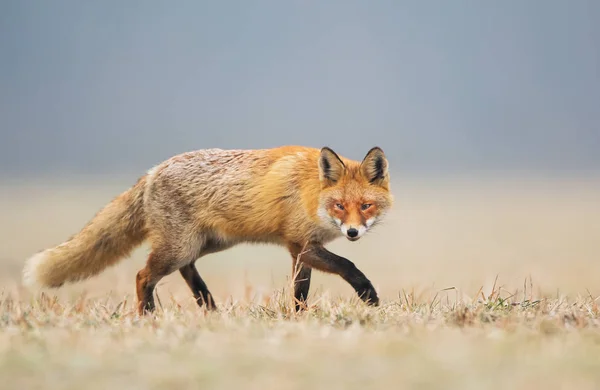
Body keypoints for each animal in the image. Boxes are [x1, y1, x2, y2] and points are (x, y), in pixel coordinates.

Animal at [22, 145, 394, 314]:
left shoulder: (299, 248)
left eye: (365, 206)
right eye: (339, 206)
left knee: (187, 271)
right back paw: (148, 316)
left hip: (205, 244)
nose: (352, 233)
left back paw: (209, 307)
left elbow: (300, 290)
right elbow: (348, 265)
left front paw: (299, 317)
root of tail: (152, 171)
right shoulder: (302, 244)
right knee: (144, 276)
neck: (311, 192)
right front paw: (369, 296)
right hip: (179, 248)